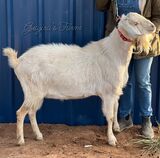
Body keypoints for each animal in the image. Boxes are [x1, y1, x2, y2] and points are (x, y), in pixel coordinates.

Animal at [3, 12, 155, 147]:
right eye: (135, 23)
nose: (153, 27)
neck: (113, 53)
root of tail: (18, 62)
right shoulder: (108, 92)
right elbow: (110, 115)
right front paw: (112, 140)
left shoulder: (115, 91)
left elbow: (116, 107)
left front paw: (116, 128)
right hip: (32, 91)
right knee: (21, 112)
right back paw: (20, 140)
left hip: (36, 94)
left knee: (31, 112)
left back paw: (38, 136)